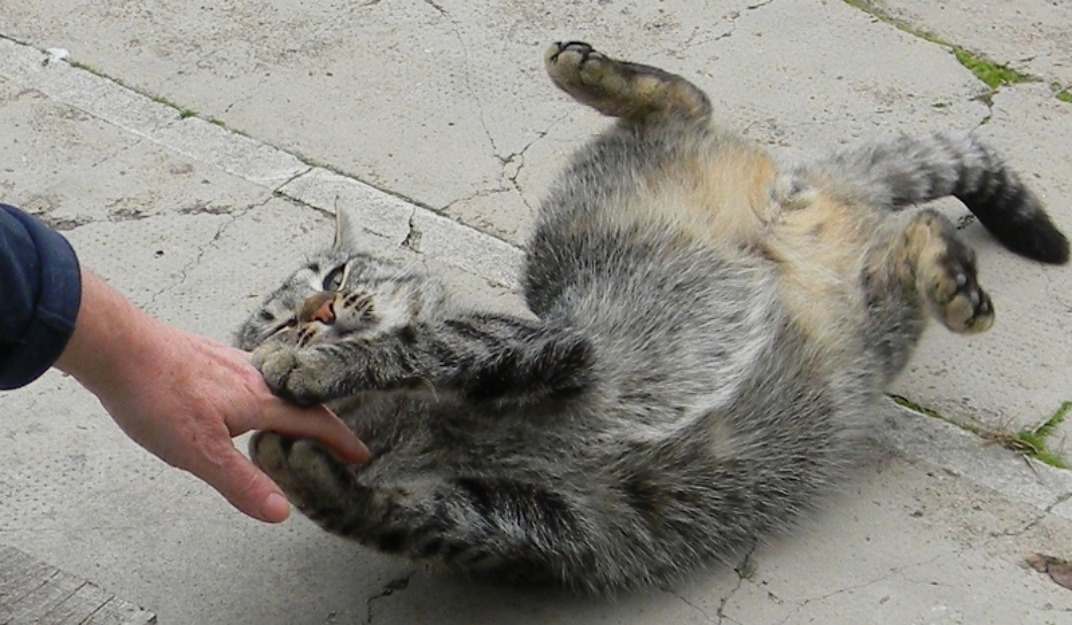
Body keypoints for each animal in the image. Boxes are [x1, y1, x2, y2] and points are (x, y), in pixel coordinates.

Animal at [239, 41, 1067, 596]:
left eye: (336, 277)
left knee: (683, 102)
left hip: (575, 215)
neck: (407, 426)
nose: (320, 312)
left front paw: (316, 365)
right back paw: (951, 276)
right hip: (878, 315)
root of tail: (796, 195)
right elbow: (394, 512)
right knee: (917, 228)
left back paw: (586, 67)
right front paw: (302, 465)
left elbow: (426, 339)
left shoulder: (547, 342)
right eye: (280, 317)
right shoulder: (542, 525)